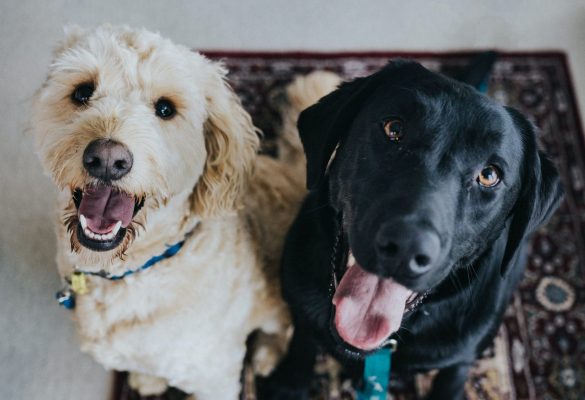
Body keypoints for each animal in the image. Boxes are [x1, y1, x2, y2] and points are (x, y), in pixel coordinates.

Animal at [32, 25, 340, 400]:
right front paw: (147, 380)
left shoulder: (214, 376)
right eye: (82, 91)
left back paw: (267, 356)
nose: (106, 158)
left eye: (166, 108)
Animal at [262, 60, 564, 400]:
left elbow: (451, 380)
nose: (405, 248)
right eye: (394, 129)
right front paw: (288, 384)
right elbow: (302, 343)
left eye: (489, 175)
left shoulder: (461, 357)